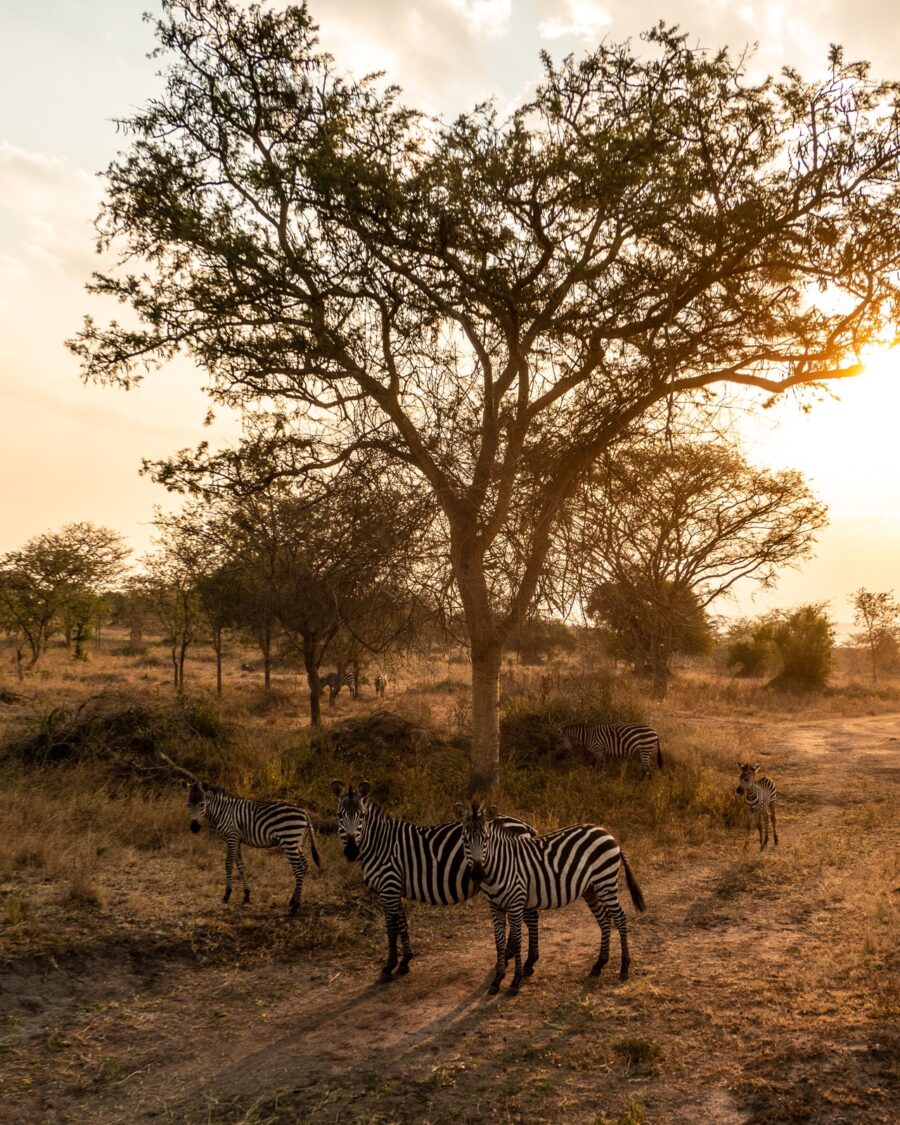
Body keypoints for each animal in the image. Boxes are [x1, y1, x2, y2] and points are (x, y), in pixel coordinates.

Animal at [187, 781, 320, 914]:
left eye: (202, 804)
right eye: (188, 805)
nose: (194, 828)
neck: (222, 812)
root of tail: (304, 811)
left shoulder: (232, 837)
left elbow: (228, 864)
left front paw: (227, 894)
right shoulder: (237, 840)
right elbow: (240, 865)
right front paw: (246, 895)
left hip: (289, 840)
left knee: (298, 869)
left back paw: (295, 906)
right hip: (298, 843)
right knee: (304, 866)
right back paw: (292, 900)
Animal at [331, 780, 540, 983]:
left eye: (361, 816)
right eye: (339, 815)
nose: (351, 852)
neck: (379, 844)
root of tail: (524, 825)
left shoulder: (388, 886)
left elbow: (391, 928)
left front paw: (389, 966)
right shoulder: (395, 888)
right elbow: (402, 923)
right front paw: (405, 962)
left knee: (530, 917)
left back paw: (527, 962)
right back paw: (515, 958)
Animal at [455, 802, 645, 994]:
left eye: (486, 839)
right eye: (464, 840)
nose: (477, 874)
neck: (500, 865)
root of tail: (606, 832)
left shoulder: (516, 903)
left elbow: (516, 941)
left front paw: (515, 981)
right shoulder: (495, 906)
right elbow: (499, 942)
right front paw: (497, 980)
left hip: (606, 883)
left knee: (620, 918)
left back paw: (624, 967)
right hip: (591, 889)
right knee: (605, 920)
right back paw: (599, 965)